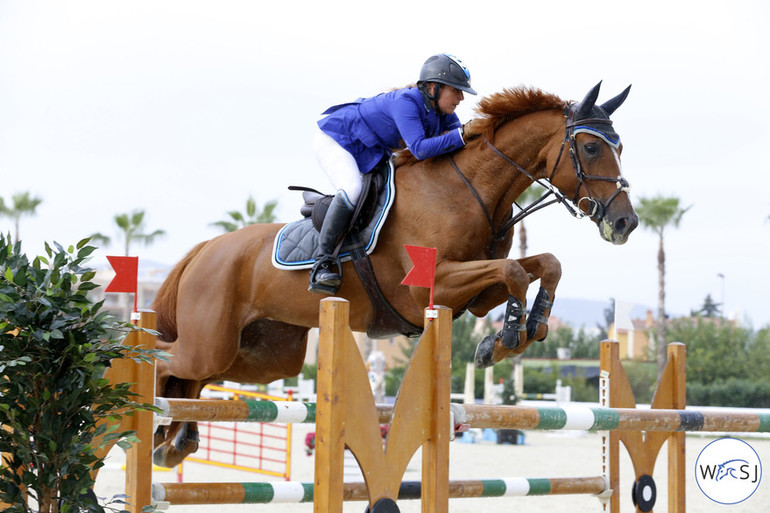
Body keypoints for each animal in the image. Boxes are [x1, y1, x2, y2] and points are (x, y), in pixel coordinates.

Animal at [150, 82, 636, 466]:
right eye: (591, 147)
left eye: (619, 148)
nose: (625, 223)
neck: (471, 190)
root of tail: (204, 250)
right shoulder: (434, 285)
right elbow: (515, 269)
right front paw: (507, 337)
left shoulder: (476, 296)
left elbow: (544, 264)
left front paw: (525, 328)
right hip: (212, 340)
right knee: (166, 360)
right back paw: (149, 418)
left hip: (264, 354)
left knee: (197, 378)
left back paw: (174, 441)